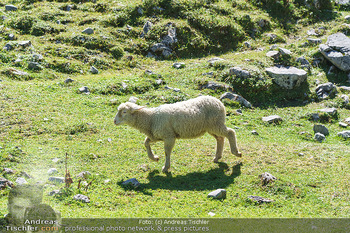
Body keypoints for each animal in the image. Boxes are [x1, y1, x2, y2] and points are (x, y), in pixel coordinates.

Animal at [113, 95, 242, 173]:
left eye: (124, 112)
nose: (114, 121)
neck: (151, 119)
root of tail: (218, 102)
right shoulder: (157, 135)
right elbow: (146, 142)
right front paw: (154, 158)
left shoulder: (169, 136)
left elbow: (167, 152)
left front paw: (165, 167)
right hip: (211, 127)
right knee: (220, 138)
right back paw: (217, 157)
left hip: (216, 123)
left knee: (230, 132)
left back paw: (236, 152)